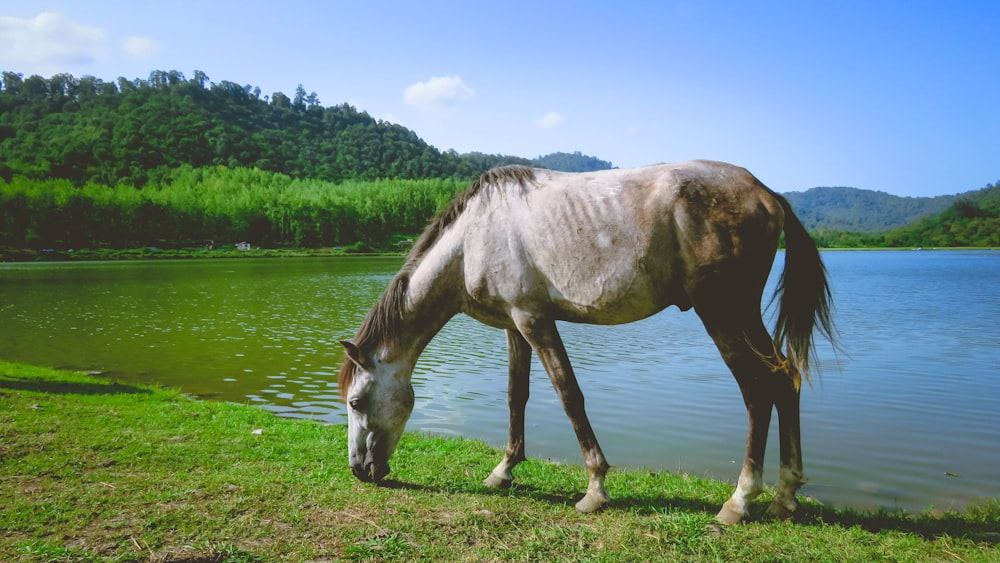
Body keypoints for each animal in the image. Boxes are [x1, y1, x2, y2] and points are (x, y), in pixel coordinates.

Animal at [340, 159, 832, 524]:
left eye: (356, 402)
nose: (359, 471)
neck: (472, 238)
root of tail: (767, 193)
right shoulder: (513, 326)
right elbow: (516, 396)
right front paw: (504, 470)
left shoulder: (535, 321)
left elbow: (568, 395)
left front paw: (595, 488)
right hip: (743, 317)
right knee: (786, 379)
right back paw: (785, 496)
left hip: (724, 315)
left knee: (757, 391)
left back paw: (740, 499)